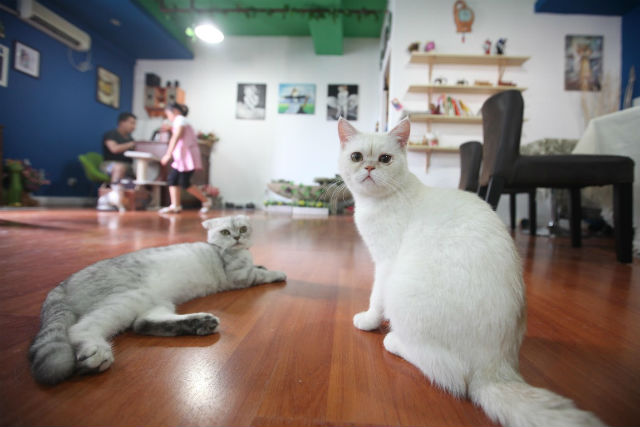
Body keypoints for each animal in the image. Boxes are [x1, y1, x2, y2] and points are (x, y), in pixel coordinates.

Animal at [29, 215, 286, 385]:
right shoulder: (240, 276)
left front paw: (263, 264)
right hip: (127, 299)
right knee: (80, 329)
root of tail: (62, 286)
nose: (237, 237)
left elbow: (258, 266)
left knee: (143, 324)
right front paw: (277, 273)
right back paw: (97, 354)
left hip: (157, 302)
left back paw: (201, 323)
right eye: (225, 232)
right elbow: (260, 274)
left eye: (243, 228)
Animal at [336, 118, 603, 427]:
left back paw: (394, 341)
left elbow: (375, 301)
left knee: (448, 372)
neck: (375, 204)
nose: (369, 168)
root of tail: (496, 369)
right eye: (357, 157)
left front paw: (367, 321)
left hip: (401, 291)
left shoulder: (385, 264)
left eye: (385, 159)